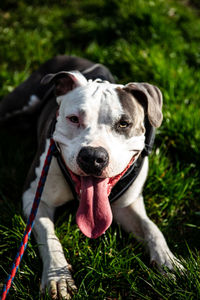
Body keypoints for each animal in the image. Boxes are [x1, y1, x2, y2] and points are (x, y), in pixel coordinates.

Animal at [0, 55, 182, 298]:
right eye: (74, 119)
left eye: (124, 124)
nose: (93, 156)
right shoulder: (36, 197)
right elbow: (49, 236)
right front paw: (58, 278)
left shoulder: (127, 206)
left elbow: (151, 228)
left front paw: (168, 262)